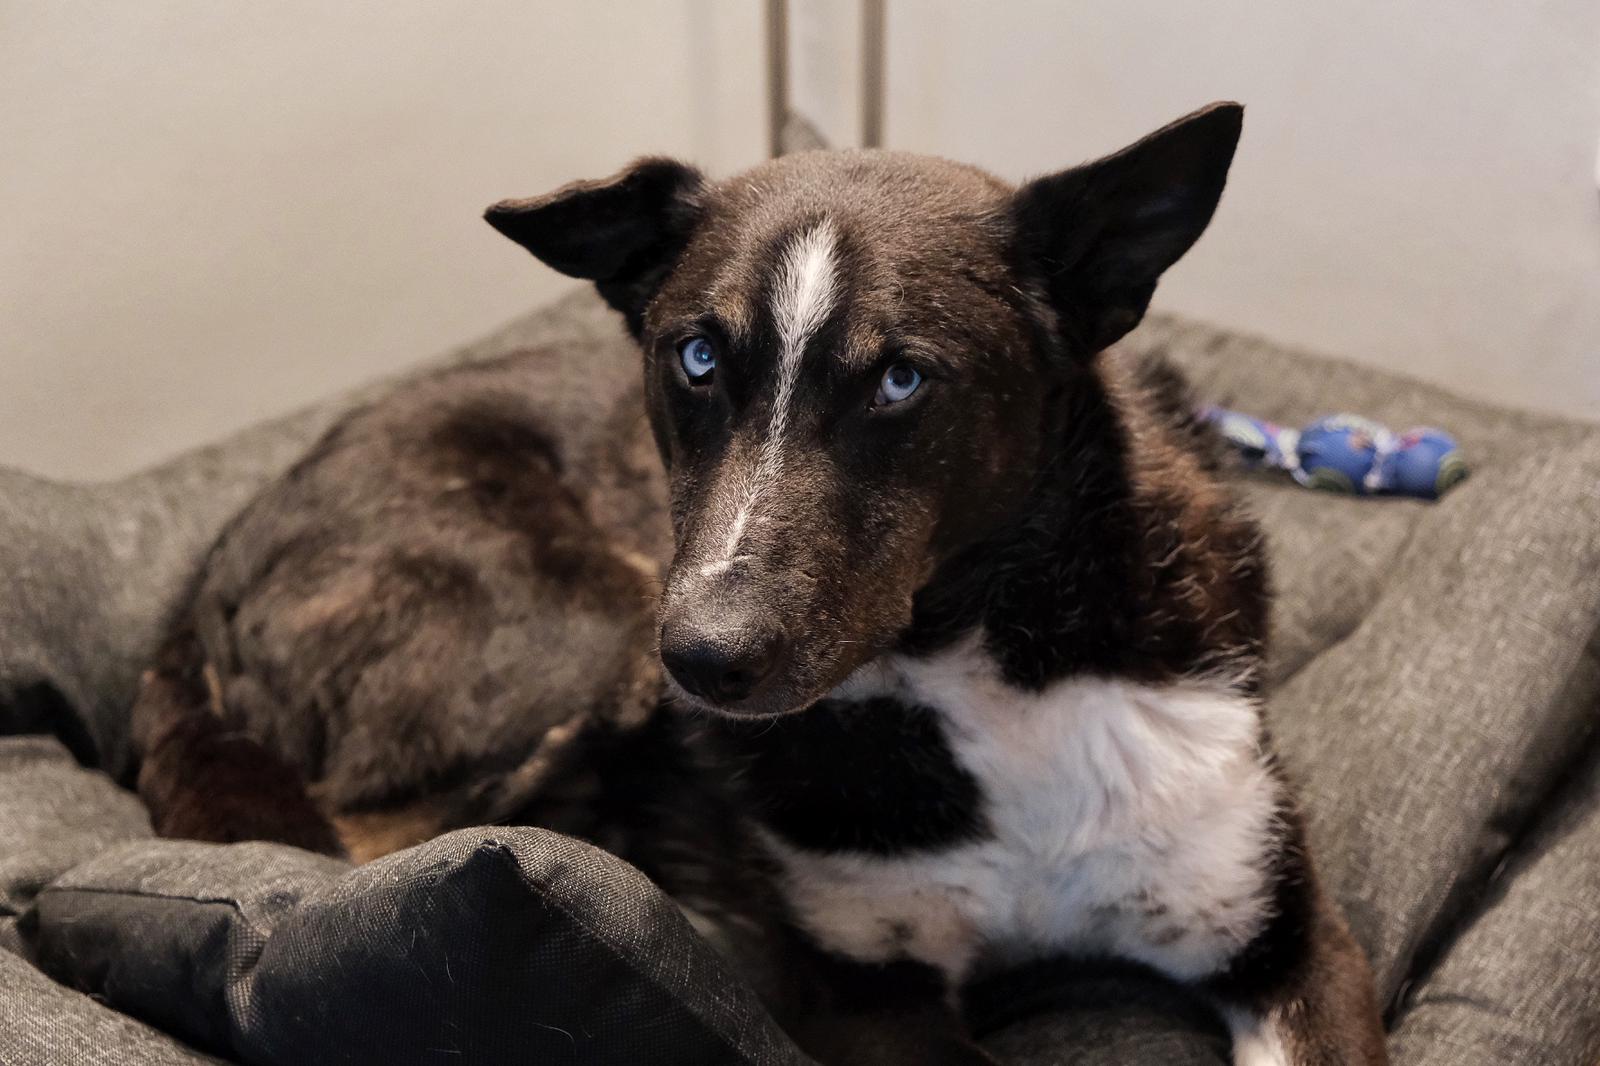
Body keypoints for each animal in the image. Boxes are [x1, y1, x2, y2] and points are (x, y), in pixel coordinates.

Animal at [134, 101, 1386, 1064]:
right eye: (693, 357)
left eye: (900, 379)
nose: (704, 663)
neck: (984, 655)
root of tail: (203, 581)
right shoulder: (867, 992)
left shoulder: (1286, 936)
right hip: (587, 632)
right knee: (367, 844)